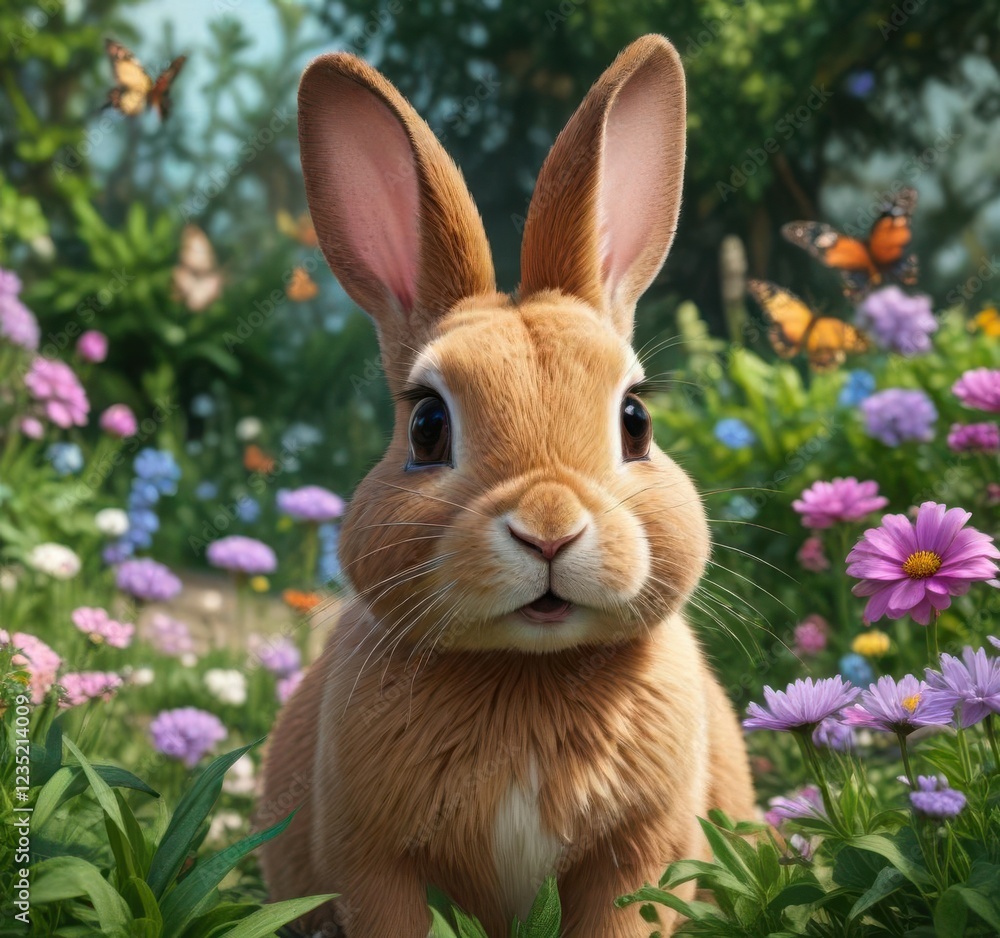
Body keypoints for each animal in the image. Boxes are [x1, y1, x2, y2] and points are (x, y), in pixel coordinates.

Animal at [259, 33, 756, 938]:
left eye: (636, 420)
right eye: (427, 425)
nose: (549, 528)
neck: (530, 670)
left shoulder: (637, 858)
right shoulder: (375, 864)